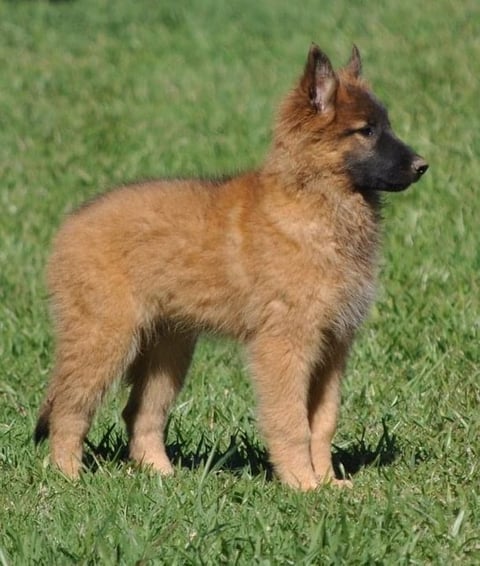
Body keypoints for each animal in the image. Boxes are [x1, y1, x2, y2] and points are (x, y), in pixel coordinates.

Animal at [35, 44, 430, 490]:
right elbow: (292, 422)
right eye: (366, 131)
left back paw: (164, 477)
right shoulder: (283, 345)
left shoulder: (333, 346)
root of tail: (69, 227)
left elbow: (323, 422)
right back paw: (69, 477)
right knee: (70, 408)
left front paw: (328, 484)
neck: (313, 202)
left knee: (141, 414)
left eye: (386, 126)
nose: (422, 165)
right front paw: (303, 485)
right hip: (104, 338)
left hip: (168, 351)